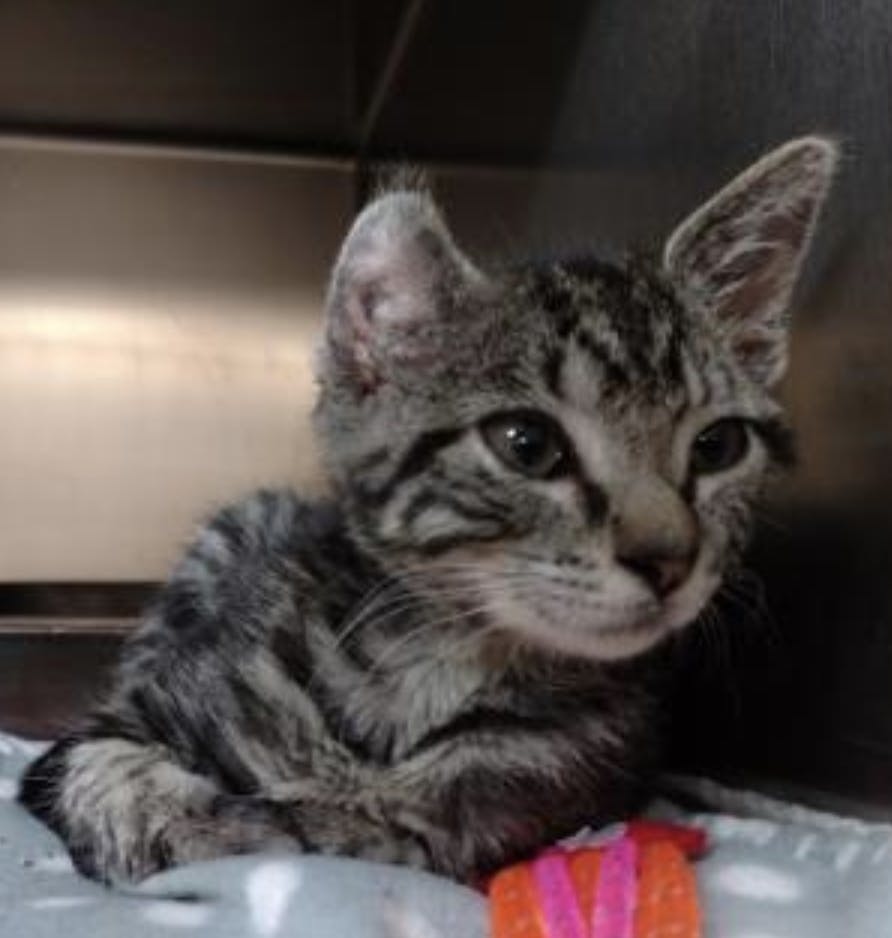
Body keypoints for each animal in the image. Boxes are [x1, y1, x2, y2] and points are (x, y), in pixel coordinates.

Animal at [19, 136, 836, 885]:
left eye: (719, 445)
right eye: (527, 445)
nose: (669, 560)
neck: (433, 658)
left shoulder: (555, 778)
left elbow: (374, 830)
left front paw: (289, 823)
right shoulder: (101, 733)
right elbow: (106, 773)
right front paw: (186, 823)